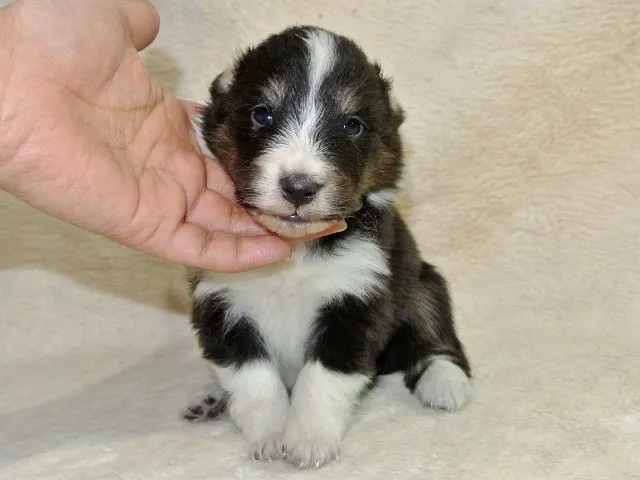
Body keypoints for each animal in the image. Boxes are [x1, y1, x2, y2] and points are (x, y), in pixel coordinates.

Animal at [182, 25, 472, 468]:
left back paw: (446, 384)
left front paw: (308, 442)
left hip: (423, 282)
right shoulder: (222, 302)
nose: (299, 187)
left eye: (352, 125)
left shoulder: (358, 297)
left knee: (434, 334)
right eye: (262, 114)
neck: (296, 251)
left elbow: (323, 378)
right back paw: (209, 398)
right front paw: (270, 436)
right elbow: (253, 378)